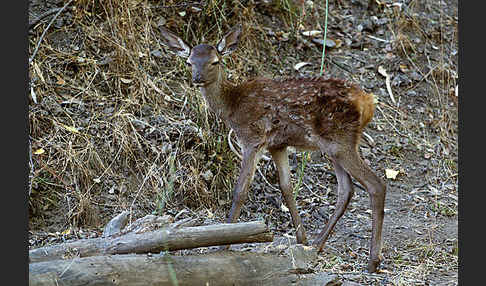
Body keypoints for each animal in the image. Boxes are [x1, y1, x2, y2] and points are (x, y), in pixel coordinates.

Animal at [159, 23, 388, 272]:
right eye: (189, 61)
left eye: (215, 61)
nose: (197, 78)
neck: (232, 107)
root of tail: (368, 102)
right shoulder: (278, 145)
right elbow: (286, 187)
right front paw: (301, 239)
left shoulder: (252, 139)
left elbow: (241, 190)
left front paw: (223, 245)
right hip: (333, 146)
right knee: (347, 189)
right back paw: (317, 243)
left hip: (340, 141)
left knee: (376, 185)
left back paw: (373, 261)